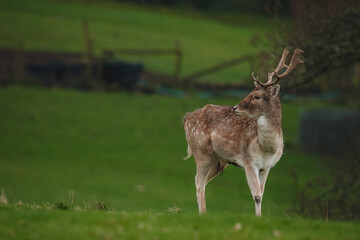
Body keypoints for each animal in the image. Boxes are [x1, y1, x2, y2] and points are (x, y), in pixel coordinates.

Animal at [183, 47, 304, 217]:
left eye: (256, 96)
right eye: (250, 92)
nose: (235, 107)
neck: (267, 149)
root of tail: (186, 118)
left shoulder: (267, 167)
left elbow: (262, 194)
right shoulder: (249, 162)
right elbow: (257, 195)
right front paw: (258, 218)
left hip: (217, 160)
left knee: (200, 181)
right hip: (201, 151)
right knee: (199, 182)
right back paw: (203, 214)